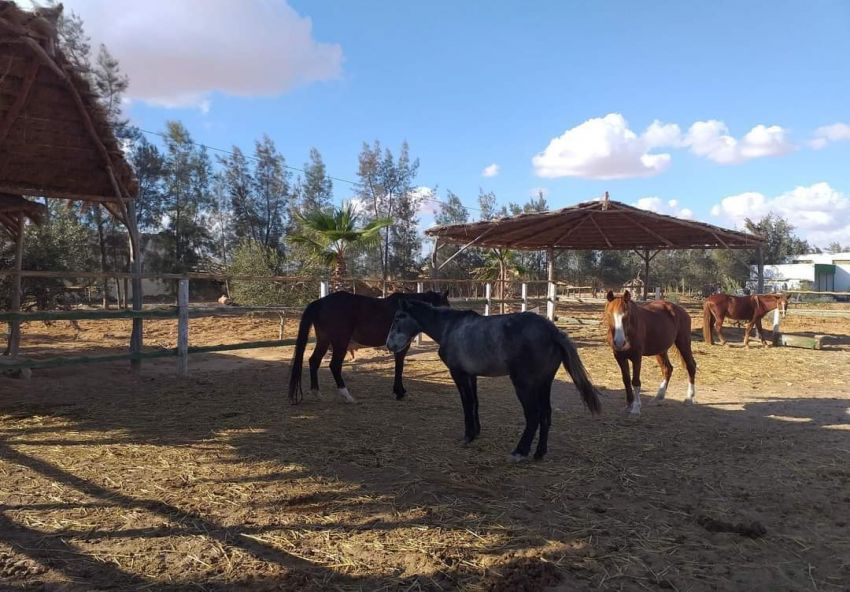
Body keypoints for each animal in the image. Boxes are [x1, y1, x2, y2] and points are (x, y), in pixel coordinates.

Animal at [286, 290, 448, 404]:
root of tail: (319, 302)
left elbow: (399, 366)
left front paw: (399, 392)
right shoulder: (402, 346)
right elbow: (399, 367)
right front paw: (400, 393)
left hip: (324, 340)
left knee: (314, 361)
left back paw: (317, 394)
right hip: (340, 342)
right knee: (335, 365)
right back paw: (347, 396)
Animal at [384, 300, 596, 462]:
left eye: (398, 318)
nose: (389, 345)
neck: (450, 328)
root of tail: (553, 332)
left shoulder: (458, 374)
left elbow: (467, 403)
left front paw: (468, 436)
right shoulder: (472, 375)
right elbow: (475, 403)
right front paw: (476, 432)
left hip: (524, 384)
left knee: (533, 415)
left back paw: (520, 452)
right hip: (545, 383)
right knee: (546, 414)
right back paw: (539, 453)